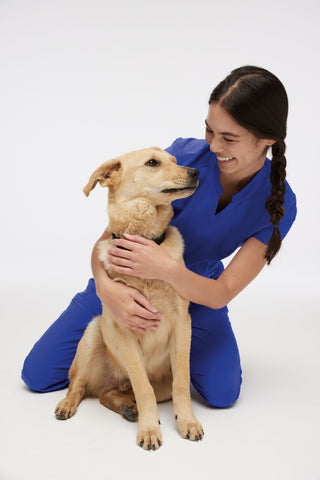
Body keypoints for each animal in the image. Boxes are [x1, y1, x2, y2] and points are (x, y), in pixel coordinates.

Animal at [54, 146, 202, 450]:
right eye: (153, 163)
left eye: (174, 160)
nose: (196, 172)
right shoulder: (125, 328)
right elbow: (142, 386)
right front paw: (149, 430)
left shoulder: (183, 323)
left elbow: (182, 382)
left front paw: (188, 422)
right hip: (92, 333)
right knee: (80, 386)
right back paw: (69, 405)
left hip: (159, 383)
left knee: (108, 394)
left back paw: (127, 407)